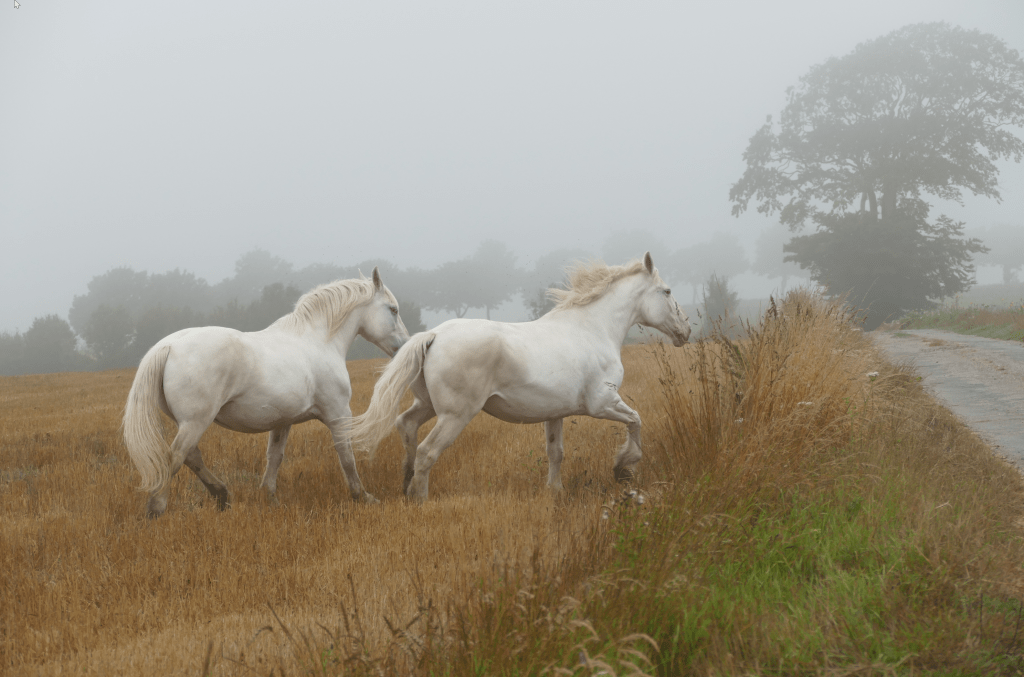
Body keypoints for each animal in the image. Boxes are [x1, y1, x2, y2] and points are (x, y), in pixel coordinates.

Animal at [122, 268, 409, 517]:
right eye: (393, 309)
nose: (404, 346)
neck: (318, 341)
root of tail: (169, 345)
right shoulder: (337, 413)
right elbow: (346, 455)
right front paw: (363, 496)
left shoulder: (283, 421)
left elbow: (275, 457)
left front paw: (270, 497)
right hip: (195, 421)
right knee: (175, 457)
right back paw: (157, 508)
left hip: (188, 423)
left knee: (191, 456)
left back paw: (222, 496)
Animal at [347, 252, 691, 502]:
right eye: (667, 291)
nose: (685, 331)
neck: (594, 329)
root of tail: (433, 336)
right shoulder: (603, 403)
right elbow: (636, 421)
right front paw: (623, 469)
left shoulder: (555, 413)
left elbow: (556, 452)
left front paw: (555, 491)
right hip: (455, 414)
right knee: (426, 451)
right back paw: (419, 499)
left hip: (428, 405)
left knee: (405, 425)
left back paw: (405, 486)